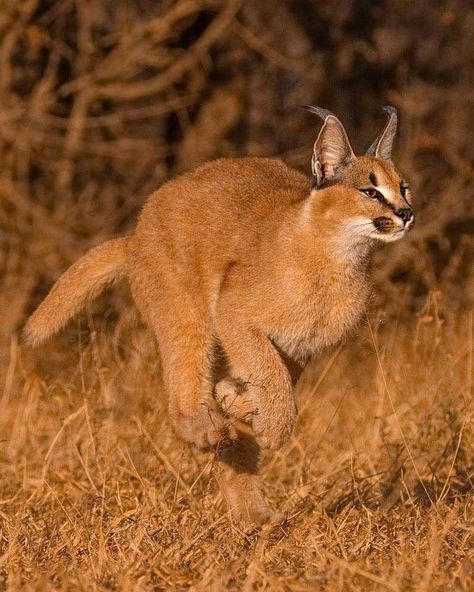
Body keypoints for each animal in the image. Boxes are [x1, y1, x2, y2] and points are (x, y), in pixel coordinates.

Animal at [25, 108, 414, 524]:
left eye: (403, 187)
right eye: (370, 192)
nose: (406, 213)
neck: (339, 259)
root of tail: (135, 236)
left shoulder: (299, 345)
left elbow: (273, 378)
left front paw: (235, 400)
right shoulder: (234, 314)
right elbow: (271, 374)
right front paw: (270, 425)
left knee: (232, 441)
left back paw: (255, 517)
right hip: (187, 317)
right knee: (181, 395)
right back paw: (206, 430)